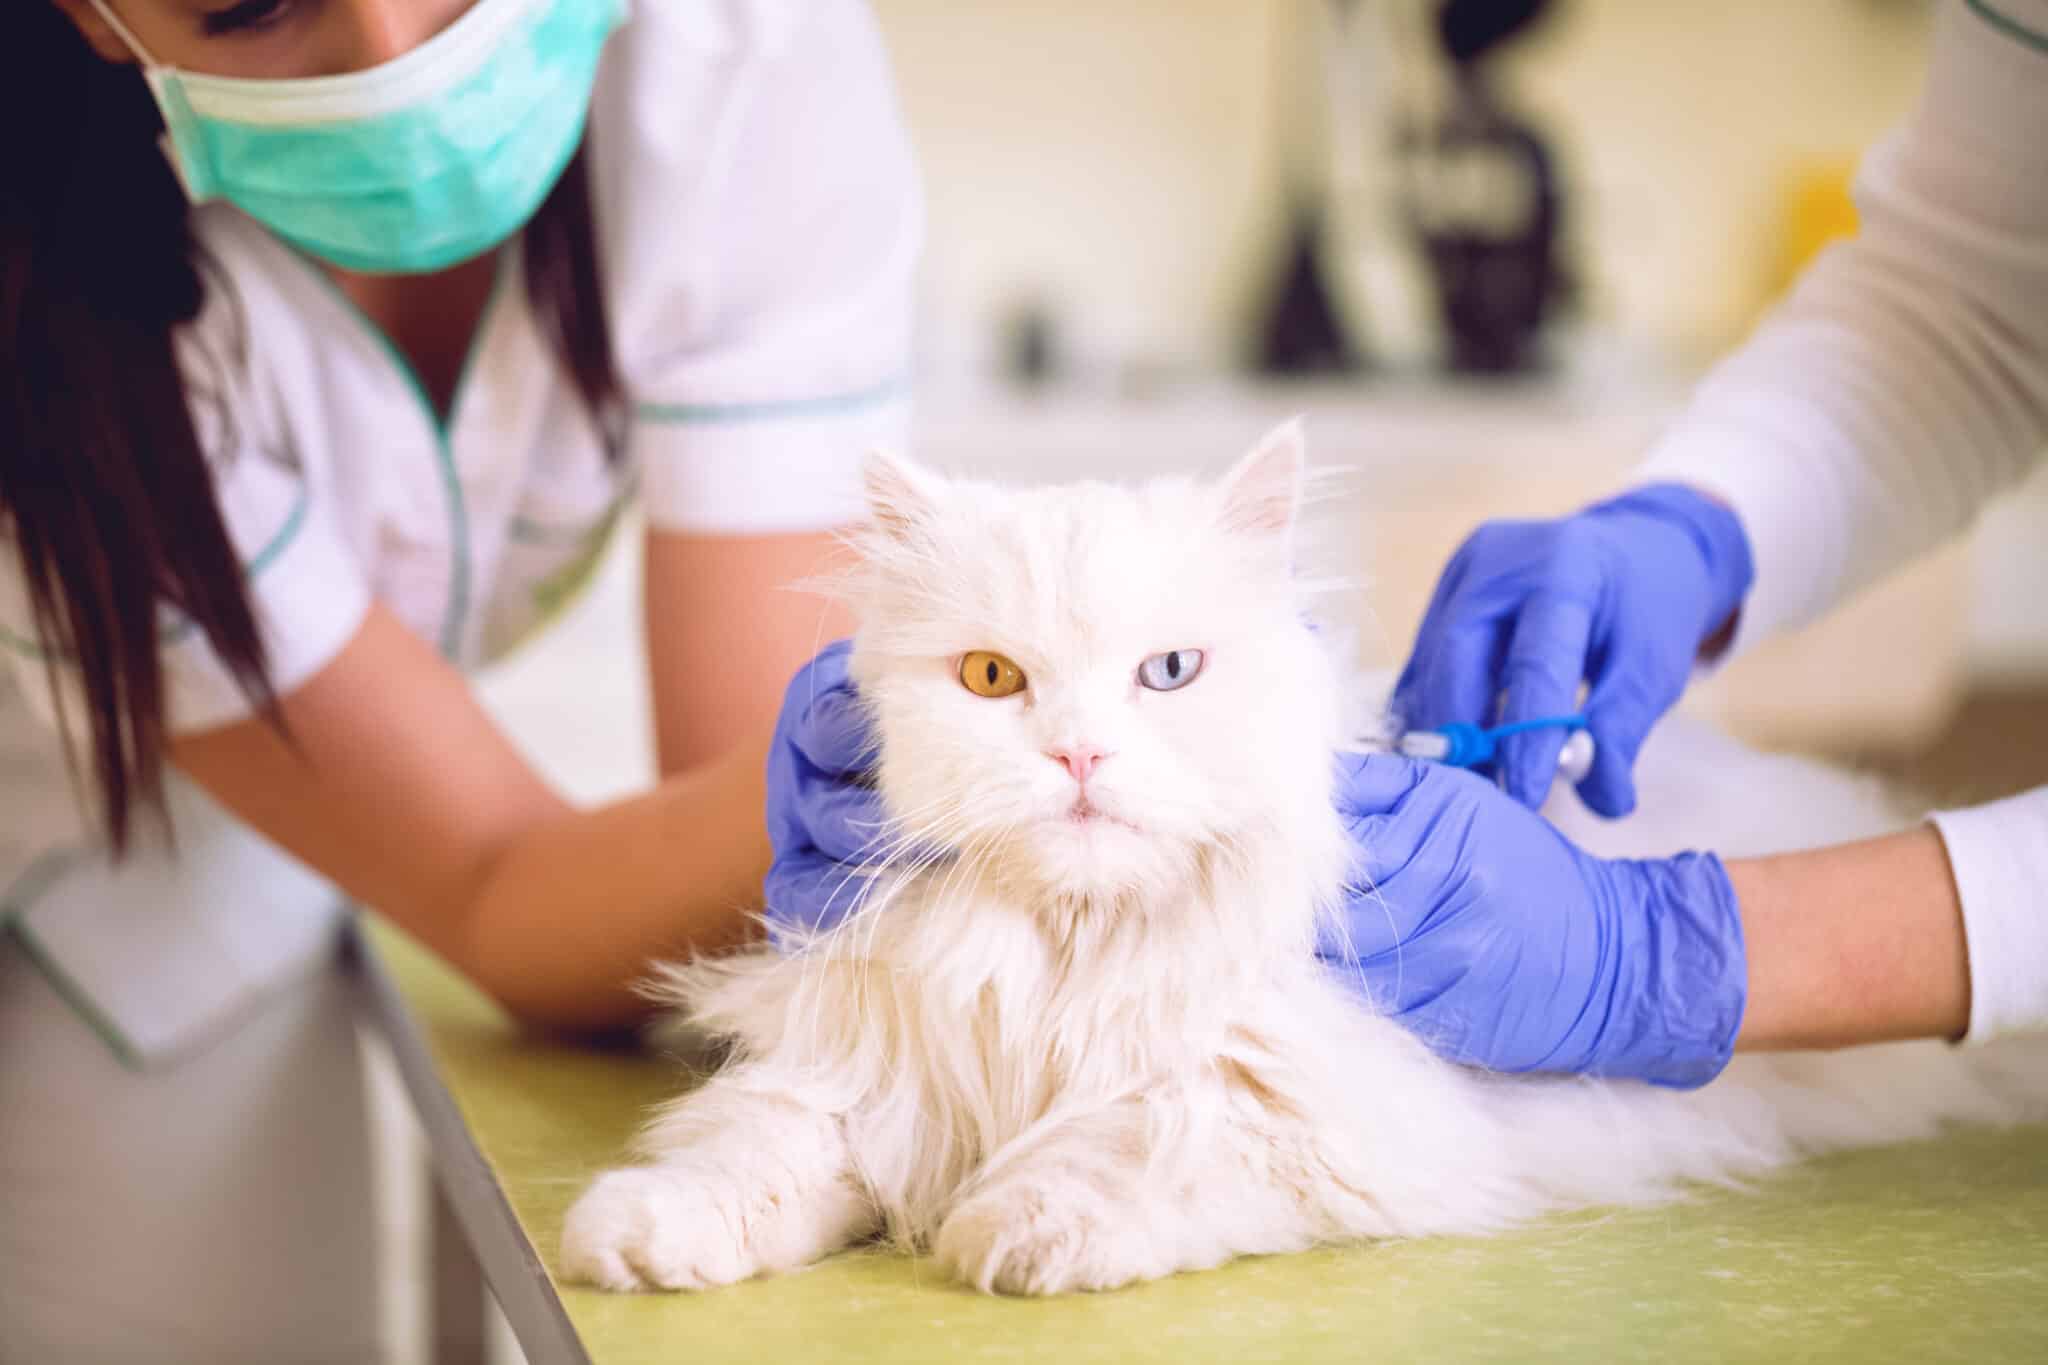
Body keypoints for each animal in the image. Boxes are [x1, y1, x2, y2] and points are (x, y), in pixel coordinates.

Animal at [561, 421, 2048, 1301]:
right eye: (991, 680)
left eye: (1168, 673)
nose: (1080, 755)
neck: (1067, 964)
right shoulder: (866, 1071)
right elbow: (752, 1148)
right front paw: (637, 1237)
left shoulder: (1306, 1109)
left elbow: (1133, 1142)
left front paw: (1013, 1232)